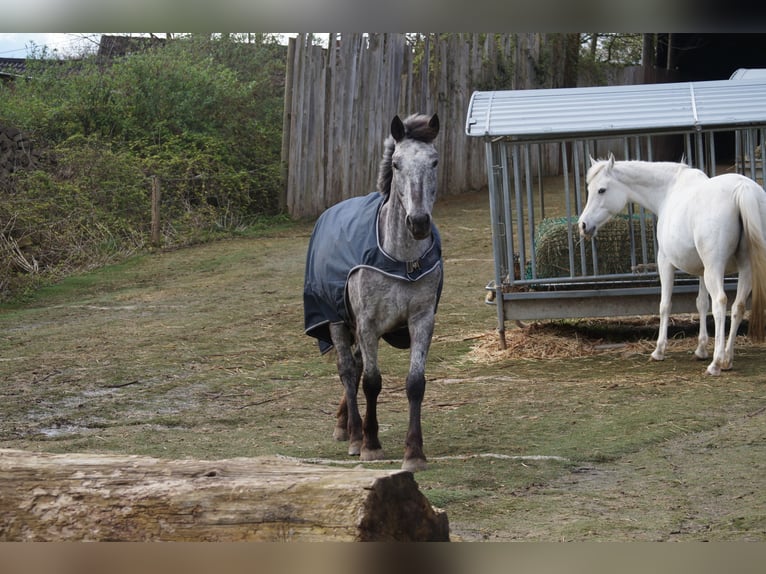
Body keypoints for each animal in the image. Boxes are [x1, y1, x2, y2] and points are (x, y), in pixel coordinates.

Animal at [304, 113, 440, 472]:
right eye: (396, 164)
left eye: (434, 162)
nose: (418, 222)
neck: (402, 259)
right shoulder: (366, 324)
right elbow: (372, 382)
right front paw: (371, 444)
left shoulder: (422, 320)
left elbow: (415, 383)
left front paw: (414, 452)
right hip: (337, 322)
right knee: (349, 371)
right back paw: (354, 433)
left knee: (355, 366)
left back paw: (344, 423)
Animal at [584, 154, 766, 378]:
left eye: (601, 190)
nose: (583, 225)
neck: (668, 190)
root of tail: (742, 188)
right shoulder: (702, 271)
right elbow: (701, 303)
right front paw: (701, 349)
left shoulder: (665, 262)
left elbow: (665, 305)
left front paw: (659, 350)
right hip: (744, 269)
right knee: (738, 306)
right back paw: (727, 359)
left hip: (716, 268)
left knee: (721, 303)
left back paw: (716, 363)